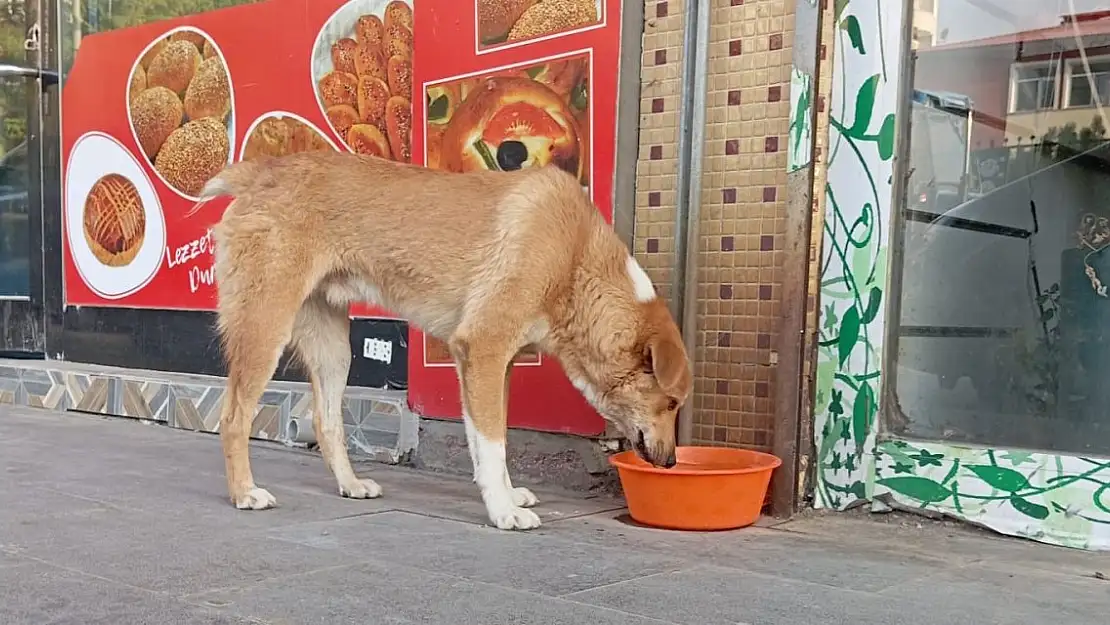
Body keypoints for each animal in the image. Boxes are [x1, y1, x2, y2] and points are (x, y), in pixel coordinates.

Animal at [195, 149, 688, 528]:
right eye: (671, 404)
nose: (670, 464)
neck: (574, 258)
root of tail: (263, 170)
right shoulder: (483, 349)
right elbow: (492, 443)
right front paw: (503, 512)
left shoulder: (495, 365)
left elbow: (491, 439)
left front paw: (506, 494)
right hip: (265, 325)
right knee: (234, 416)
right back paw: (245, 493)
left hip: (333, 346)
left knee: (326, 420)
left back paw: (350, 485)